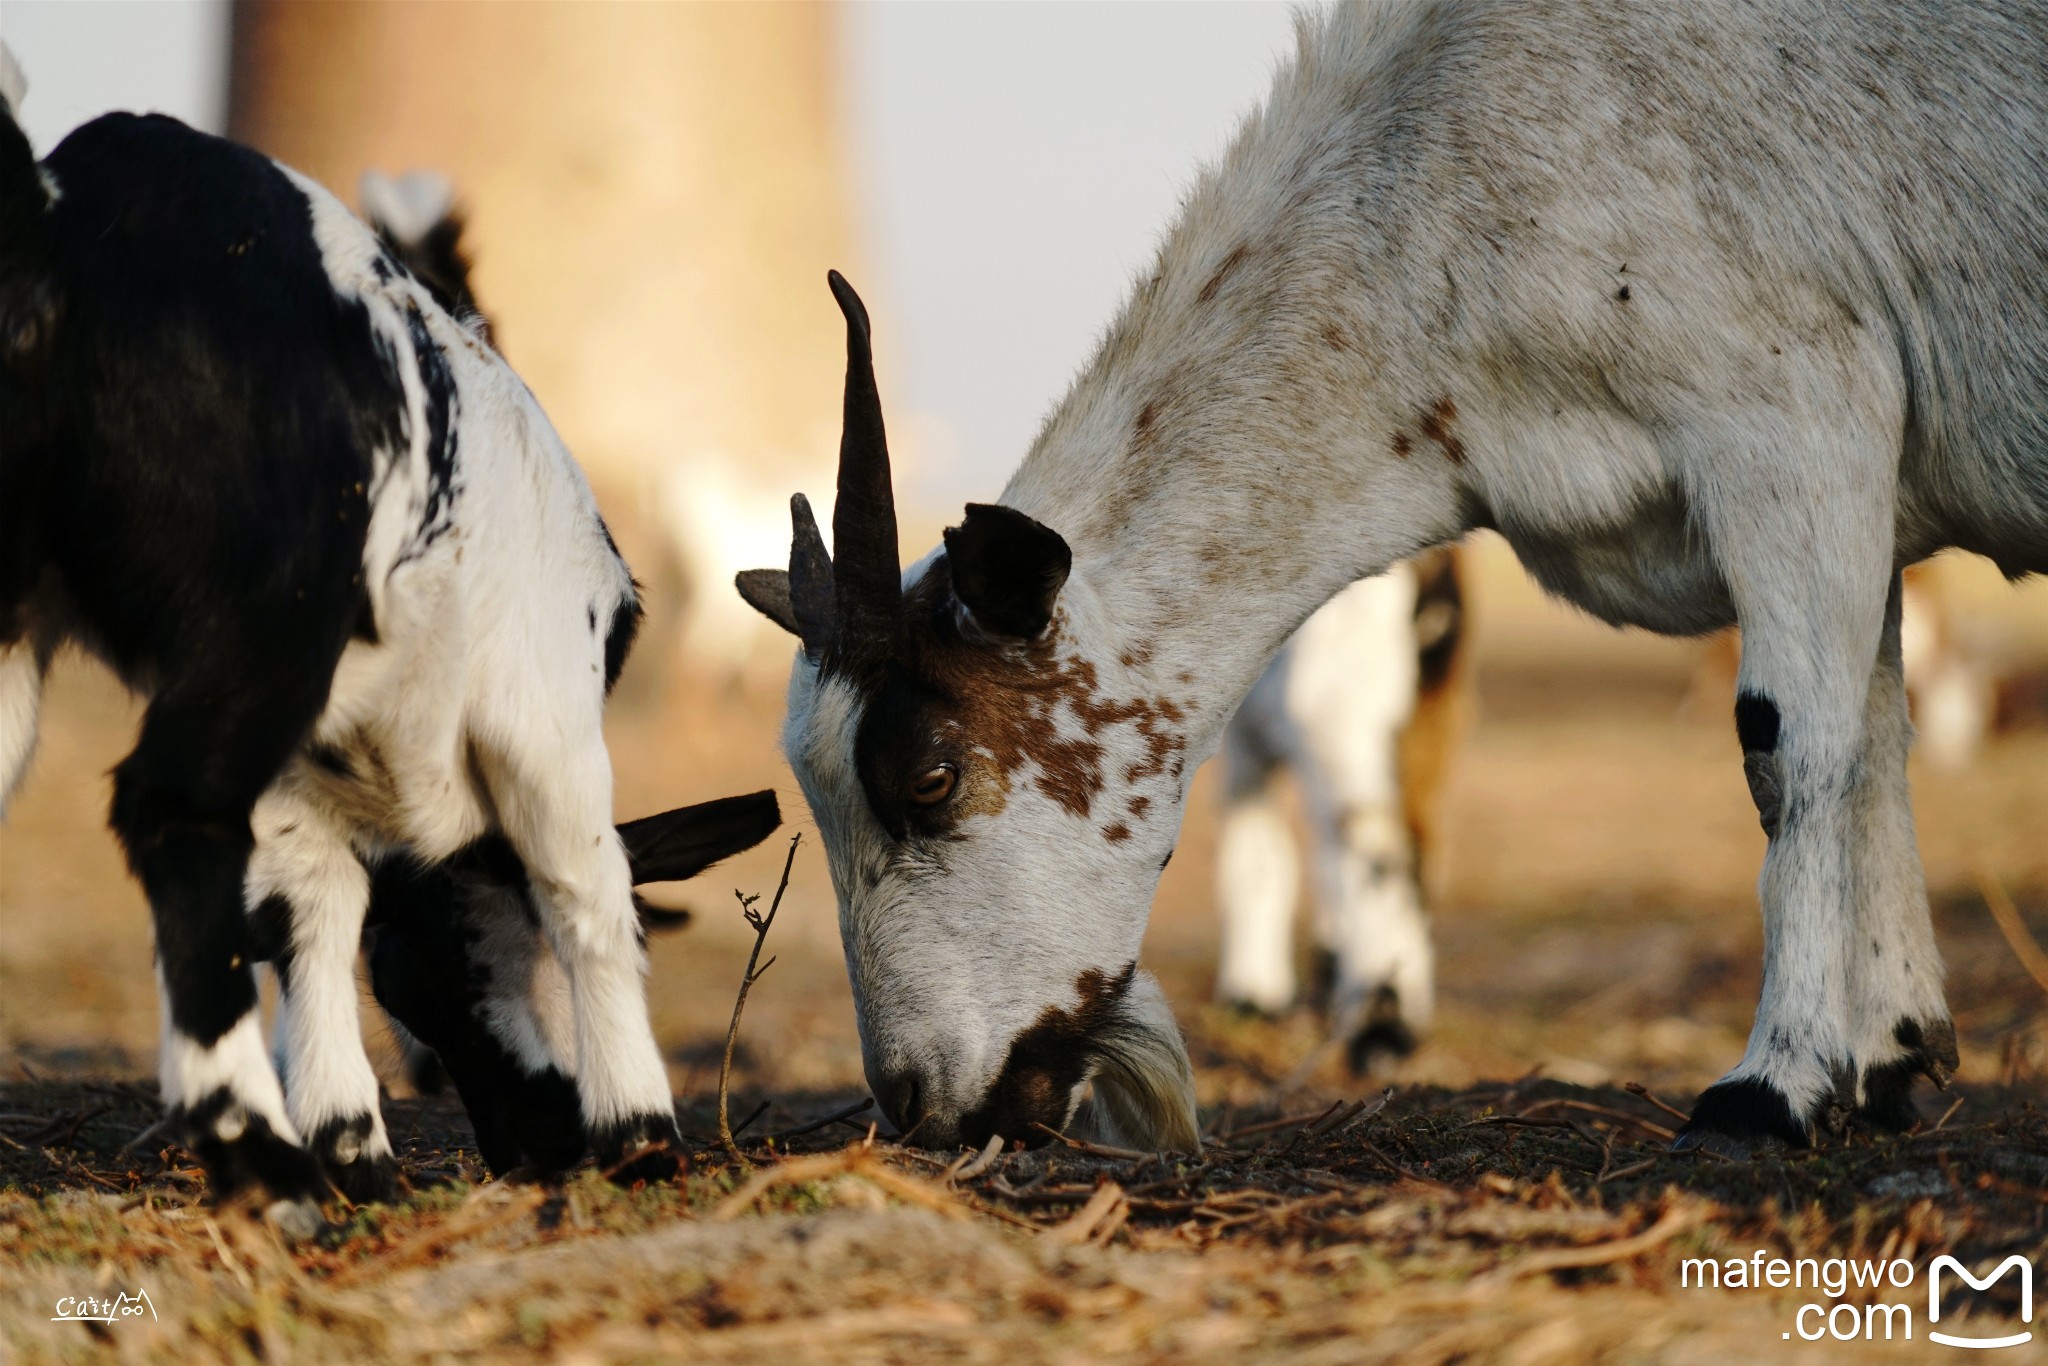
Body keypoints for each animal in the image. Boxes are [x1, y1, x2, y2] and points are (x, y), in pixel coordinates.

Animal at [0, 90, 696, 1220]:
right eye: (436, 981)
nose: (534, 1143)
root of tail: (65, 210)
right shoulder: (545, 714)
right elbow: (586, 889)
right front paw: (642, 1132)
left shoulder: (303, 772)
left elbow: (308, 909)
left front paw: (350, 1144)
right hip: (264, 620)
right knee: (172, 808)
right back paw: (249, 1141)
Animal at [1204, 544, 1466, 1064]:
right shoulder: (1243, 734)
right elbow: (1259, 852)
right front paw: (1258, 992)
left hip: (1339, 711)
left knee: (1377, 849)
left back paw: (1379, 1025)